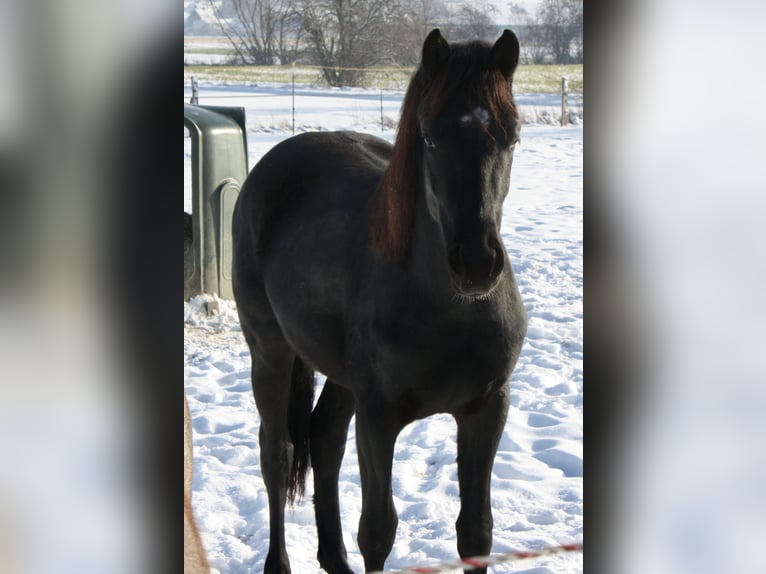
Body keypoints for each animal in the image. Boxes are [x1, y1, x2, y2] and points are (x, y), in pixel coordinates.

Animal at [232, 30, 528, 574]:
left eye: (512, 136)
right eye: (429, 137)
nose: (476, 263)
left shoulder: (487, 408)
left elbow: (476, 531)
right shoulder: (378, 418)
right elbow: (378, 530)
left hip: (340, 376)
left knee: (324, 438)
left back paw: (333, 559)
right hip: (270, 352)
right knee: (278, 453)